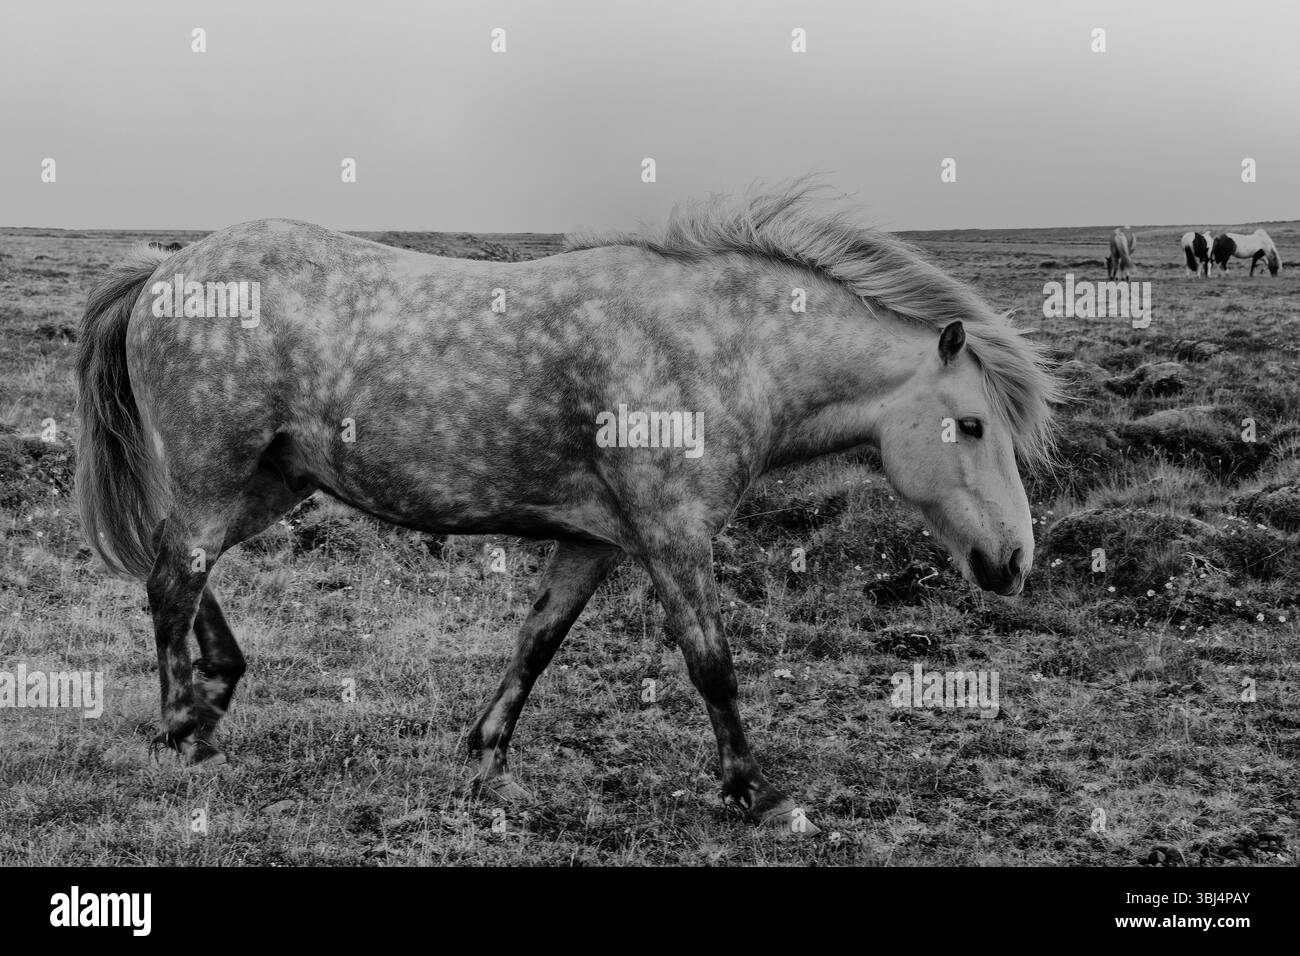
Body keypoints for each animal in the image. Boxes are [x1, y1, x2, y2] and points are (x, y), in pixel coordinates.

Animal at [75, 184, 1060, 832]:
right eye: (972, 425)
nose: (1013, 561)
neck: (723, 348)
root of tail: (168, 268)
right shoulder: (671, 535)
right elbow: (712, 663)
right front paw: (755, 790)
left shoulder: (596, 543)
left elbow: (537, 642)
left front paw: (487, 758)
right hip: (219, 473)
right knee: (172, 578)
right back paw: (184, 728)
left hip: (273, 480)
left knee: (187, 565)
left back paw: (217, 690)